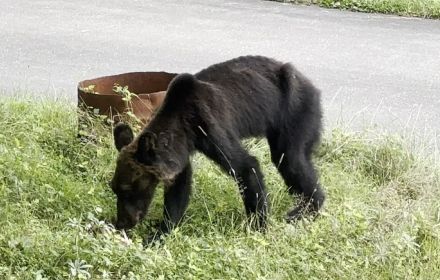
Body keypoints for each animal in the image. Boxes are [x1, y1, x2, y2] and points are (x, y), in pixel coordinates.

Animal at [109, 54, 324, 234]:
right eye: (114, 188)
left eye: (127, 189)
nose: (122, 222)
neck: (184, 125)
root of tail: (308, 81)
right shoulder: (180, 149)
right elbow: (179, 188)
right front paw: (161, 232)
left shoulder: (209, 126)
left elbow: (245, 166)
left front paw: (258, 225)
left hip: (296, 110)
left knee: (291, 160)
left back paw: (303, 210)